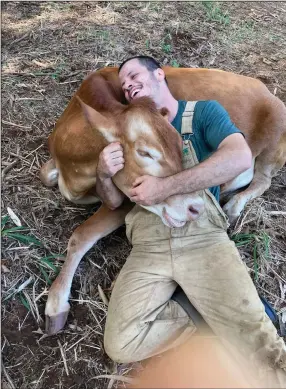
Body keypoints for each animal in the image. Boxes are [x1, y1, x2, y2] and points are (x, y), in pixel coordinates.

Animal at [42, 66, 286, 334]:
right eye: (145, 152)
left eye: (180, 144)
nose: (195, 207)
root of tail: (267, 91)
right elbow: (46, 175)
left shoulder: (127, 200)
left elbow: (81, 235)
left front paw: (56, 303)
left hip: (272, 147)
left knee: (262, 180)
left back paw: (233, 204)